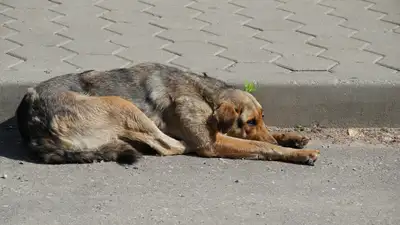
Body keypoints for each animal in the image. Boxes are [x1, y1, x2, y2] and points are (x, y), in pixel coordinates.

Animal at [15, 61, 320, 165]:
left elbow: (270, 139)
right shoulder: (210, 143)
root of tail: (32, 122)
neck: (205, 93)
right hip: (121, 103)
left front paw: (291, 138)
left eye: (262, 118)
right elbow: (259, 146)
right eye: (249, 122)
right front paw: (296, 152)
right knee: (167, 146)